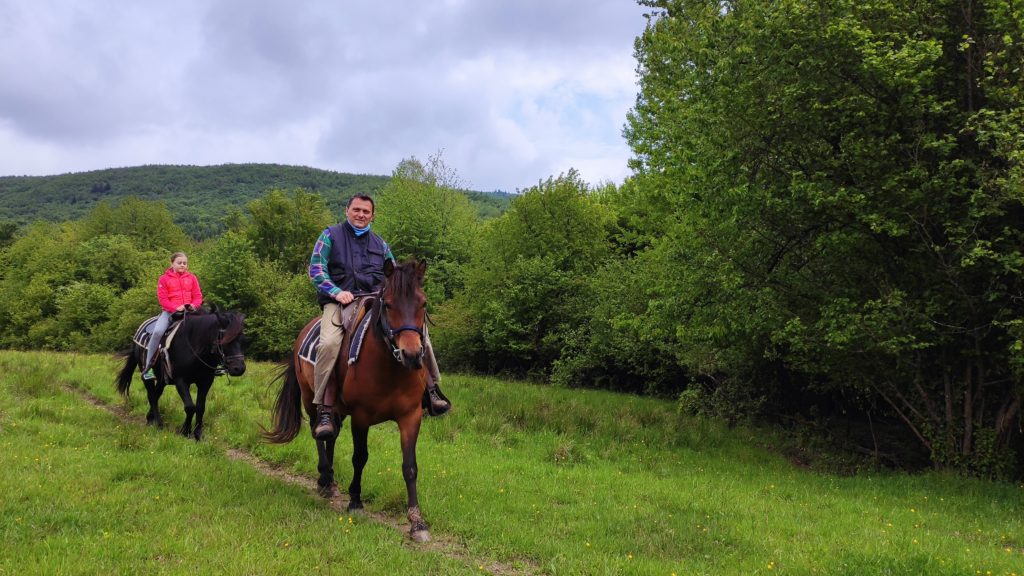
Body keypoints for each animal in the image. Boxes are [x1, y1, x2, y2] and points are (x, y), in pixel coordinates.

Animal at [116, 306, 246, 441]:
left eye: (242, 339)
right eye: (225, 339)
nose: (239, 368)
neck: (194, 346)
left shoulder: (205, 382)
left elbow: (200, 407)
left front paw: (198, 434)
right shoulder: (181, 380)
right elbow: (190, 407)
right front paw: (185, 431)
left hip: (162, 380)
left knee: (156, 395)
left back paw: (150, 419)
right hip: (147, 376)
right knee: (151, 395)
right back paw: (159, 423)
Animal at [263, 259, 433, 542]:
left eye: (423, 303)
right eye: (388, 304)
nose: (411, 354)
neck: (390, 368)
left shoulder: (411, 416)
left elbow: (410, 466)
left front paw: (417, 522)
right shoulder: (361, 417)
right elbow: (359, 457)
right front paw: (355, 501)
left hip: (338, 410)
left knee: (330, 435)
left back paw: (330, 481)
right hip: (311, 400)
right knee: (318, 432)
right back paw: (323, 479)